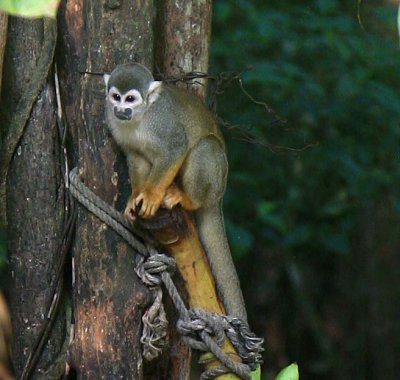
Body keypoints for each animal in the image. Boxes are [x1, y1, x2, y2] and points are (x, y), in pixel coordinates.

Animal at [103, 63, 247, 320]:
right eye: (116, 96)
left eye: (130, 99)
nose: (120, 110)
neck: (141, 117)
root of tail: (219, 197)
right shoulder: (114, 123)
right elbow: (135, 157)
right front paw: (135, 198)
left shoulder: (162, 122)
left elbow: (175, 147)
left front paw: (151, 196)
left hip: (215, 181)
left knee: (205, 147)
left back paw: (187, 198)